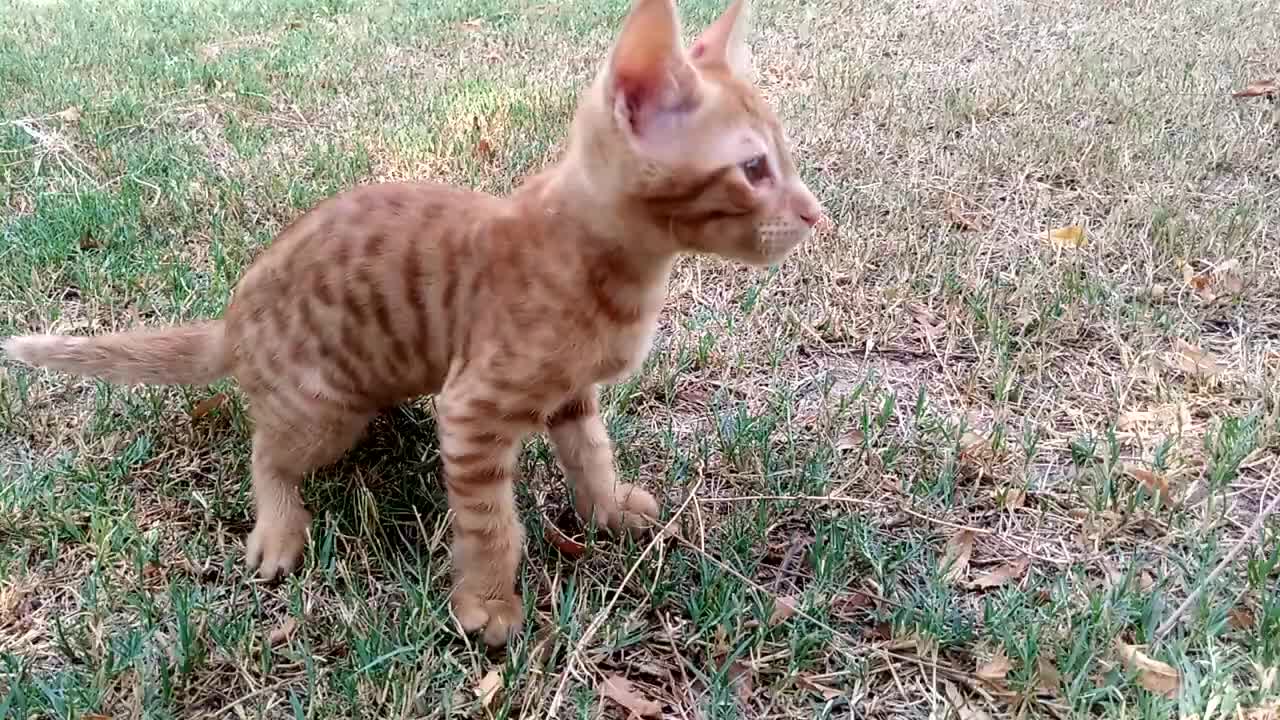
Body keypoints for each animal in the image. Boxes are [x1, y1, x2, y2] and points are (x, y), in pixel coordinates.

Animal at [2, 0, 819, 645]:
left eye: (785, 156)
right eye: (753, 169)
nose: (816, 215)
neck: (612, 268)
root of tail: (233, 319)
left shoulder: (572, 395)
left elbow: (592, 453)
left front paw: (609, 509)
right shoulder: (472, 411)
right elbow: (491, 524)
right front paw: (487, 605)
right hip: (324, 409)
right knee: (265, 451)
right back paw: (278, 527)